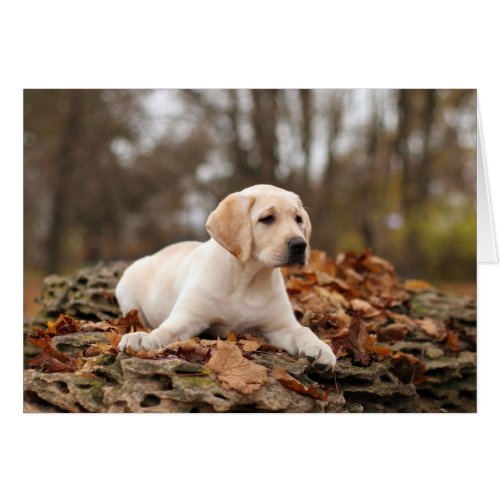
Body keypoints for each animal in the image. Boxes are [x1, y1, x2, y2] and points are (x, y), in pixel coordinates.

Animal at [116, 184, 336, 376]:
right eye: (267, 219)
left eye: (298, 219)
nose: (300, 245)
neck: (249, 279)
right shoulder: (188, 317)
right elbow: (164, 331)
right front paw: (143, 338)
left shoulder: (280, 326)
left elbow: (303, 330)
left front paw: (320, 348)